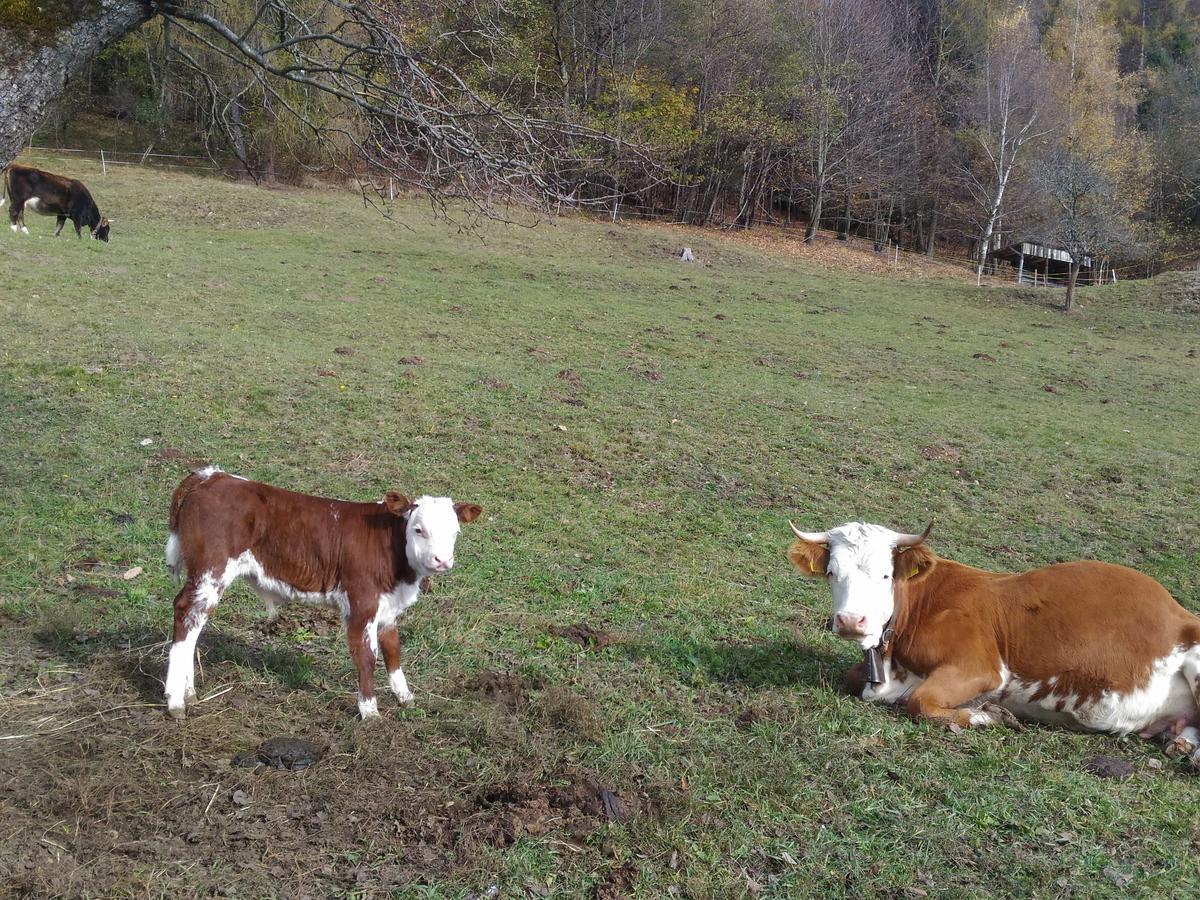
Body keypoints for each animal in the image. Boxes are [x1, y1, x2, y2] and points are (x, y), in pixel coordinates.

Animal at [164, 468, 482, 724]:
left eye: (455, 532)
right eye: (418, 529)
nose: (442, 560)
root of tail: (209, 476)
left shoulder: (388, 607)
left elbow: (393, 650)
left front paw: (405, 697)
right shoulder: (361, 603)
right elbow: (366, 656)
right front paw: (370, 712)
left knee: (193, 626)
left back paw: (188, 693)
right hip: (211, 570)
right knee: (186, 615)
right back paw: (176, 701)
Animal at [792, 520, 1200, 763]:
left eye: (885, 574)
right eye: (832, 572)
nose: (851, 621)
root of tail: (1178, 611)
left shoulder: (981, 667)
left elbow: (919, 702)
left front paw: (987, 715)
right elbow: (853, 678)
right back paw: (1181, 742)